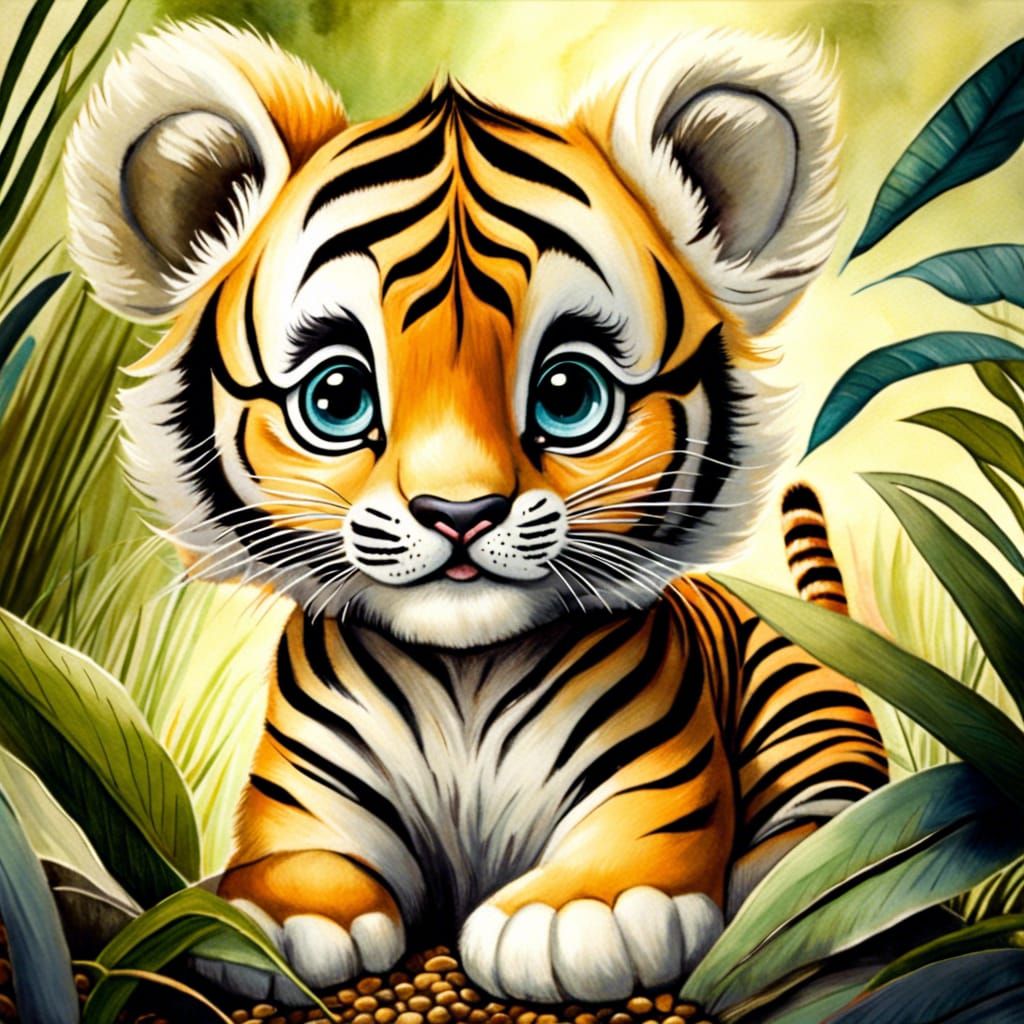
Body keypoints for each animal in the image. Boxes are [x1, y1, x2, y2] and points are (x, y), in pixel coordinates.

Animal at [63, 21, 887, 1004]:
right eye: (336, 395)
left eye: (568, 392)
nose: (460, 514)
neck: (464, 672)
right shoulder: (308, 795)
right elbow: (294, 860)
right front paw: (273, 918)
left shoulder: (655, 777)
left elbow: (629, 852)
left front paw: (576, 914)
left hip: (801, 700)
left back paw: (784, 873)